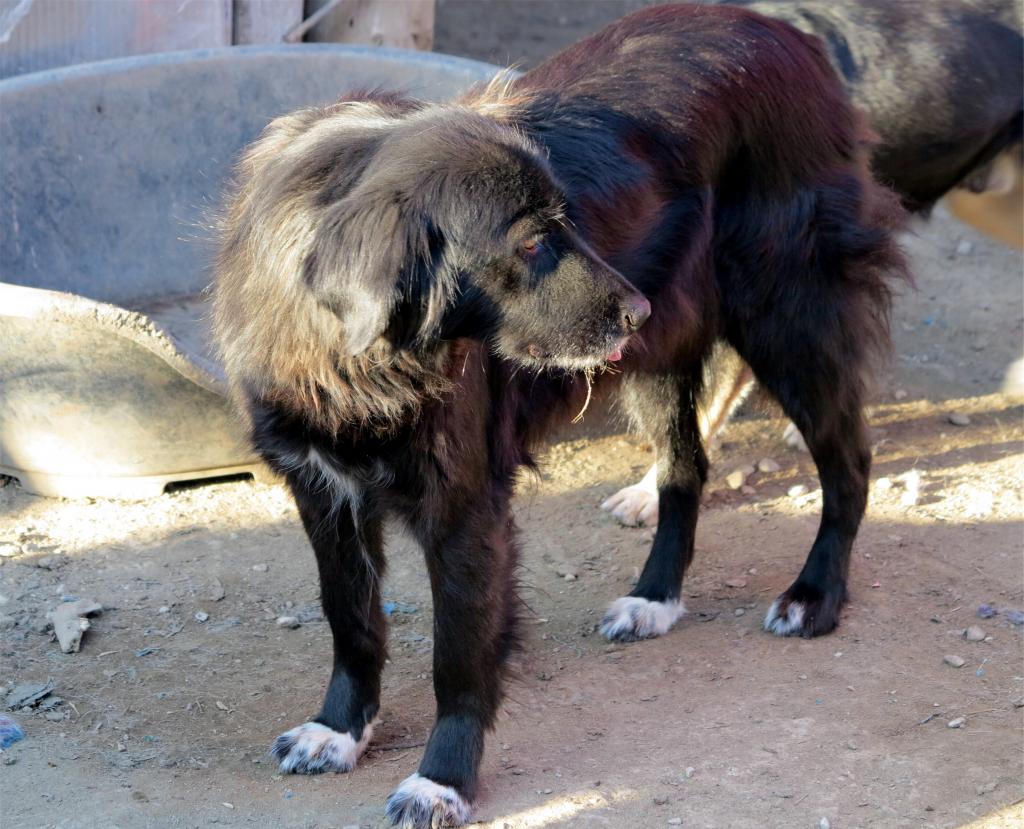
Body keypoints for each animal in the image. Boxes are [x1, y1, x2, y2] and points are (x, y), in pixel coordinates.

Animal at [211, 3, 909, 822]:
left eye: (566, 223)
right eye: (532, 244)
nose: (637, 307)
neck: (361, 359)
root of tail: (786, 33)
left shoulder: (465, 502)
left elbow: (458, 654)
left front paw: (441, 779)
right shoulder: (322, 490)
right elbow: (350, 618)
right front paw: (338, 730)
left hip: (787, 318)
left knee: (849, 461)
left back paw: (815, 595)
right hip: (660, 358)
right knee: (686, 469)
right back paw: (655, 599)